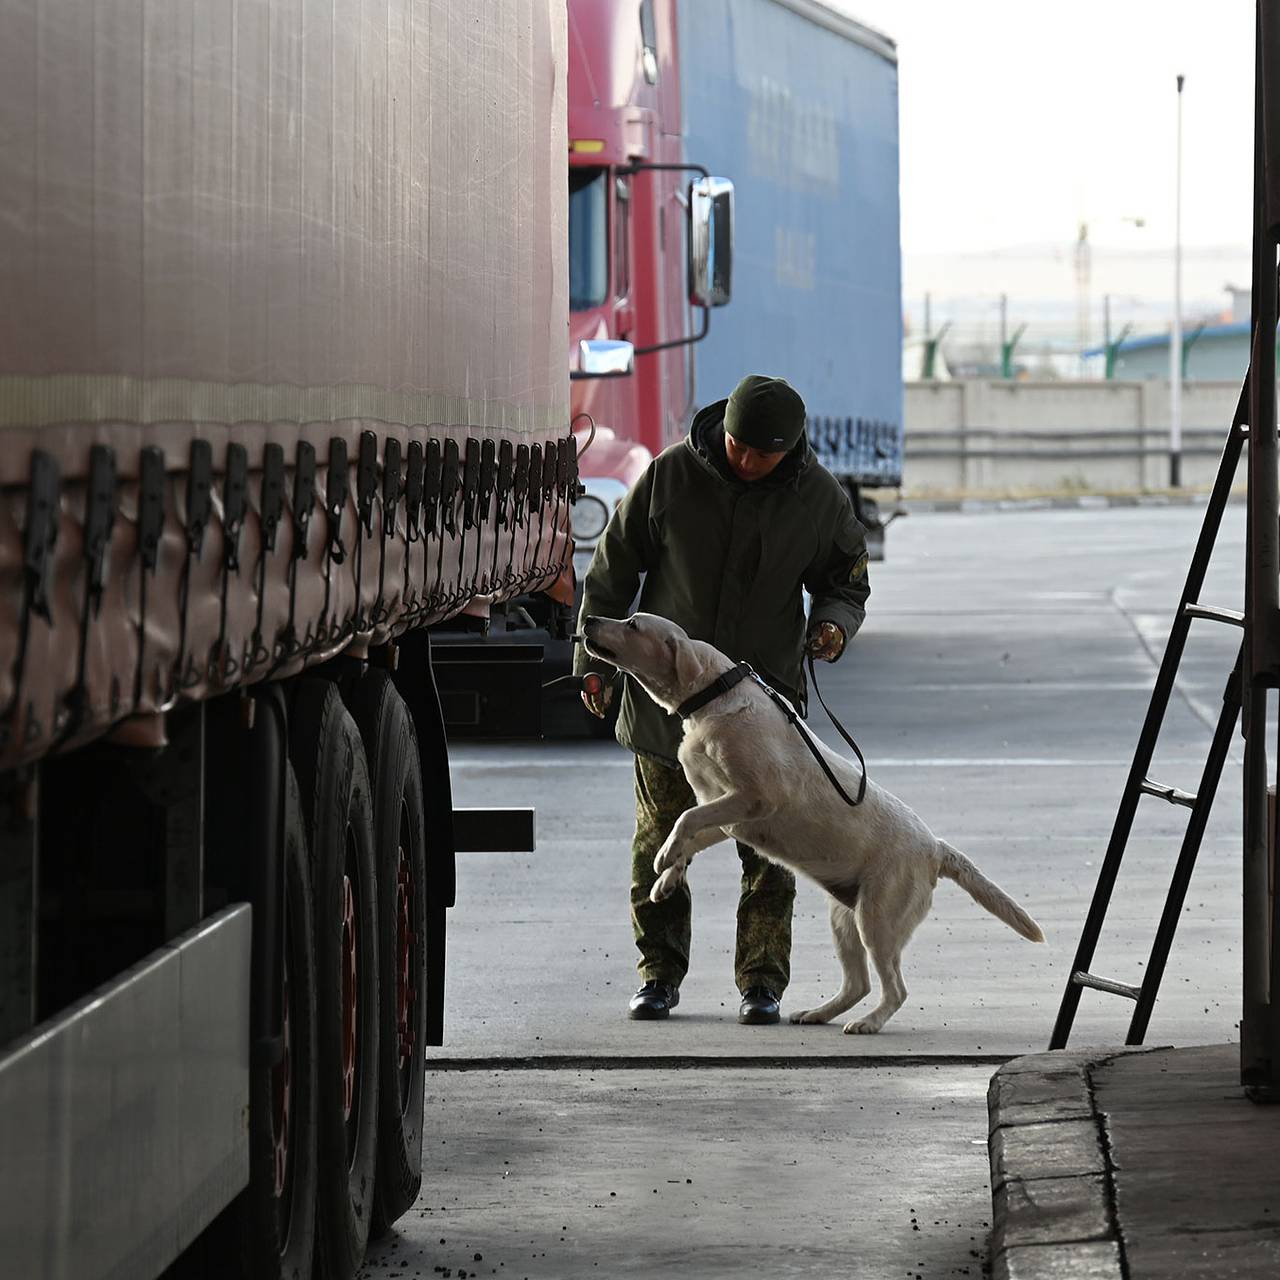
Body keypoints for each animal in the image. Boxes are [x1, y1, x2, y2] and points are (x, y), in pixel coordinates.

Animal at [586, 606, 1044, 1029]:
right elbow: (688, 826)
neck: (713, 698)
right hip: (845, 919)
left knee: (895, 988)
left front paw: (664, 860)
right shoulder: (724, 812)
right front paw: (667, 878)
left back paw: (868, 1023)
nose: (589, 619)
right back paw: (819, 1013)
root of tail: (934, 847)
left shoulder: (754, 798)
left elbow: (684, 820)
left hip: (877, 918)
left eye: (632, 624)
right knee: (858, 983)